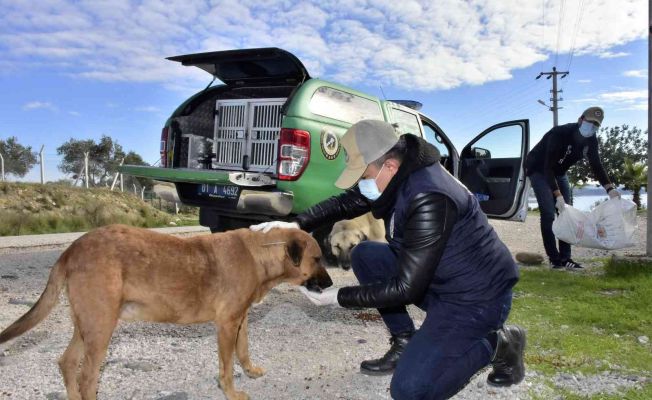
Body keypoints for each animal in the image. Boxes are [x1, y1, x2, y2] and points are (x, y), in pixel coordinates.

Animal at [0, 225, 334, 400]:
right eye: (318, 258)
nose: (332, 284)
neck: (258, 253)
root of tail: (72, 249)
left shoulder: (241, 320)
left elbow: (244, 350)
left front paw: (250, 371)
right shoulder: (227, 325)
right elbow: (226, 367)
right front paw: (231, 391)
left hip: (88, 325)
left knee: (67, 362)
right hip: (100, 328)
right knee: (86, 378)